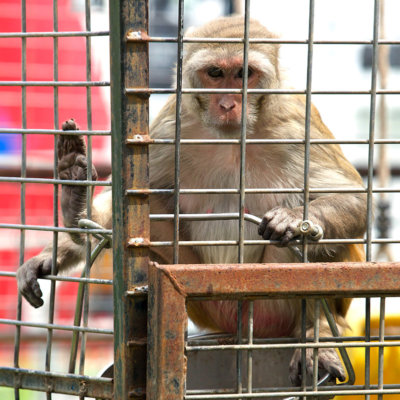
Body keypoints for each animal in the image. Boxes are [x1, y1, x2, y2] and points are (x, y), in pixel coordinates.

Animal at [16, 16, 366, 388]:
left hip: (269, 299)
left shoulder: (294, 121)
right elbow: (125, 213)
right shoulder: (172, 125)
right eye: (215, 72)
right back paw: (76, 203)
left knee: (315, 248)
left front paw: (294, 219)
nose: (227, 104)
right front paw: (55, 248)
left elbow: (352, 198)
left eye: (244, 73)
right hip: (207, 304)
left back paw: (318, 332)